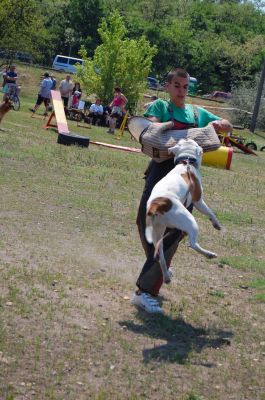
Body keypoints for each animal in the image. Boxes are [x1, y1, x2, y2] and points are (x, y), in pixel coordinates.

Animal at [144, 139, 221, 282]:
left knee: (160, 255)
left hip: (158, 232)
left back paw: (167, 276)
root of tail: (156, 205)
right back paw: (209, 254)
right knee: (192, 243)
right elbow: (209, 211)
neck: (186, 163)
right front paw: (216, 224)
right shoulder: (198, 200)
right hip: (190, 222)